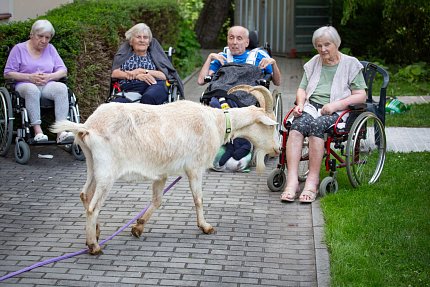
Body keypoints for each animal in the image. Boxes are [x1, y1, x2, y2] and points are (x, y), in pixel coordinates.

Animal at [51, 84, 278, 255]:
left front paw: (138, 227)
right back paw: (94, 246)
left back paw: (96, 233)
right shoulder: (195, 168)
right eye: (271, 126)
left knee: (84, 195)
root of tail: (87, 128)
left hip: (92, 165)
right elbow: (198, 198)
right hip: (107, 173)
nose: (276, 149)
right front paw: (205, 227)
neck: (218, 122)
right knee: (93, 206)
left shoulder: (160, 173)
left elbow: (157, 200)